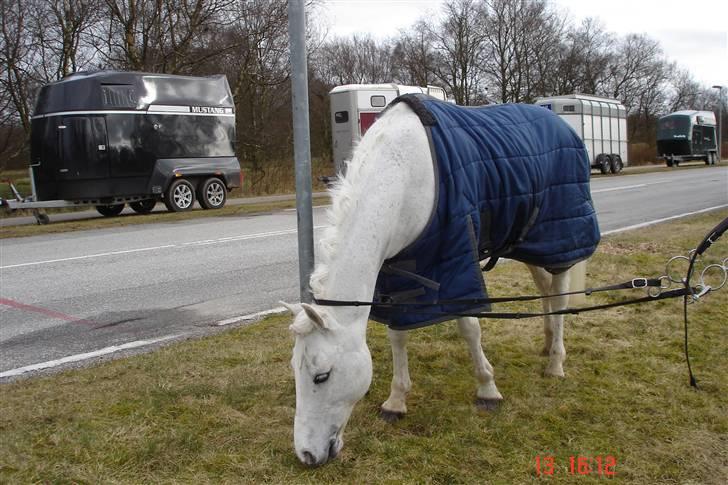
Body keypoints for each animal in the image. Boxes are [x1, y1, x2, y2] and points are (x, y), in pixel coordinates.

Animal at [282, 93, 596, 466]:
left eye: (322, 376)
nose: (306, 454)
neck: (403, 177)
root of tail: (561, 124)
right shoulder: (398, 275)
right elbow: (397, 335)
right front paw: (396, 401)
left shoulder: (456, 262)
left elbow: (469, 327)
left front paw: (487, 389)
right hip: (526, 242)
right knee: (545, 291)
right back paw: (547, 344)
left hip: (558, 238)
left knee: (559, 295)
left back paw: (555, 363)